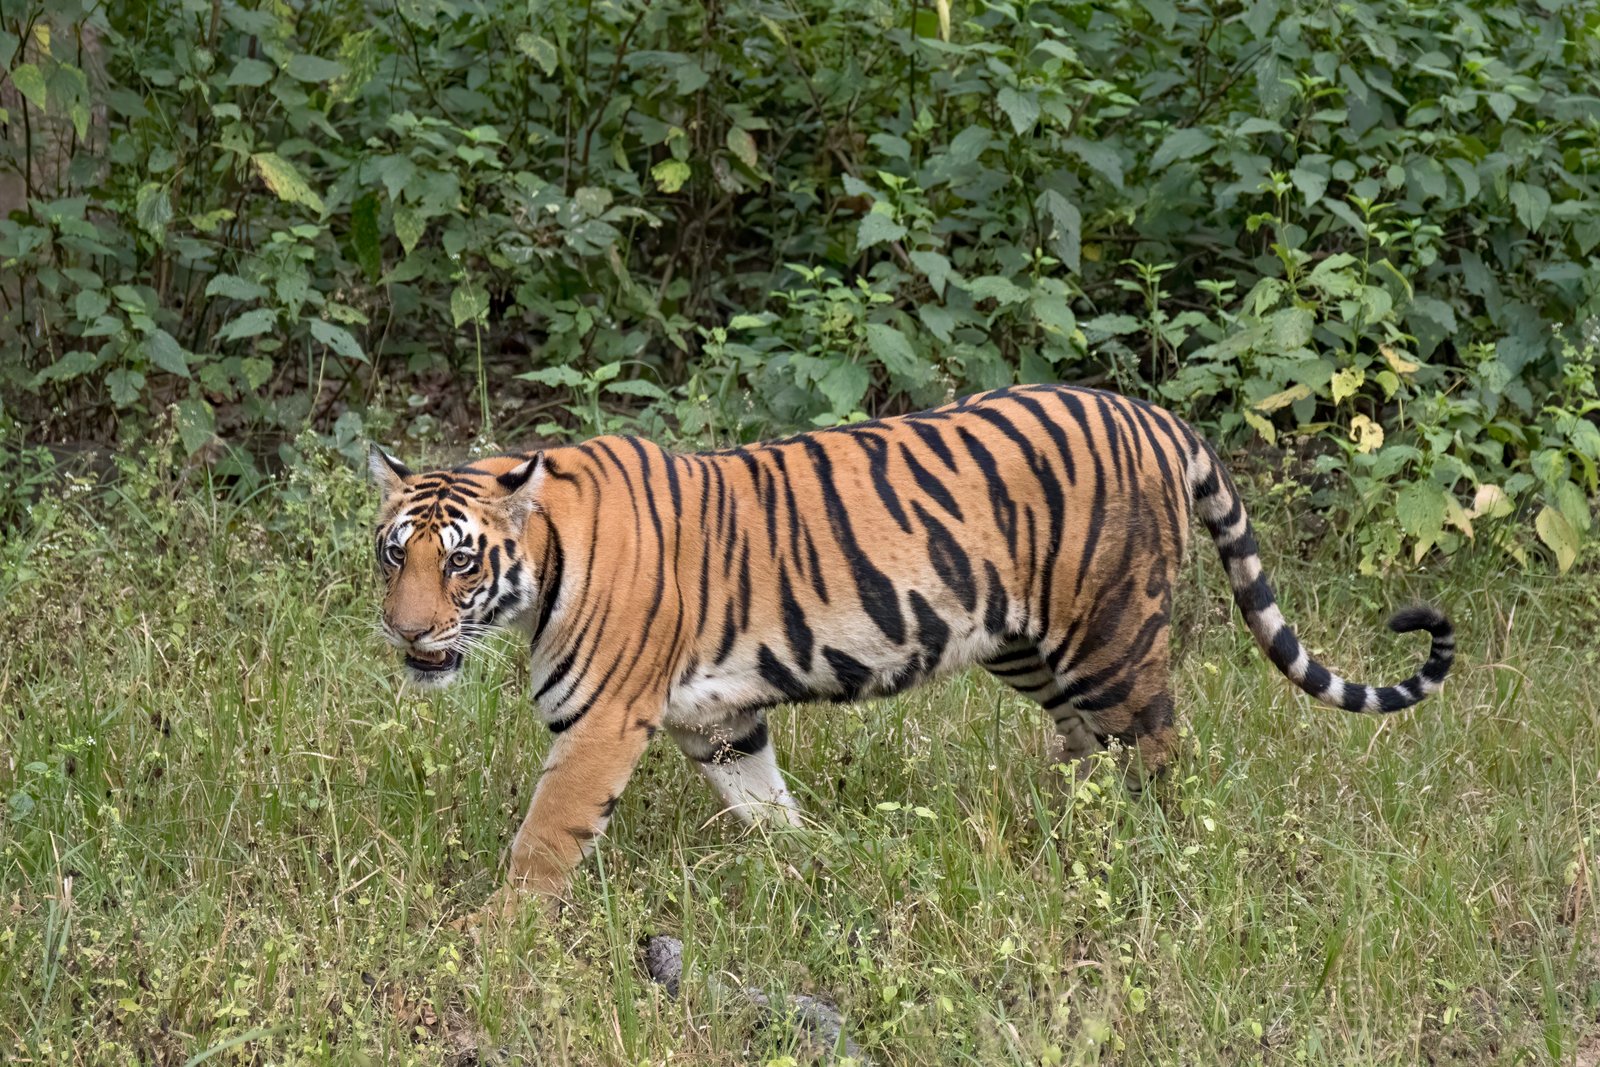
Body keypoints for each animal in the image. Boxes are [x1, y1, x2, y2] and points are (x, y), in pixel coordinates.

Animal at [368, 384, 1453, 915]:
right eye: (393, 552)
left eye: (460, 561)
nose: (408, 631)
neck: (542, 566)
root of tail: (1155, 415)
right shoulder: (719, 718)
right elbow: (766, 805)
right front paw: (813, 866)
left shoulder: (600, 721)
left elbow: (545, 835)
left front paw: (496, 934)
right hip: (1026, 645)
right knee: (1087, 748)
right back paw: (1064, 837)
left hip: (1111, 635)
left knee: (1160, 753)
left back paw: (1158, 858)